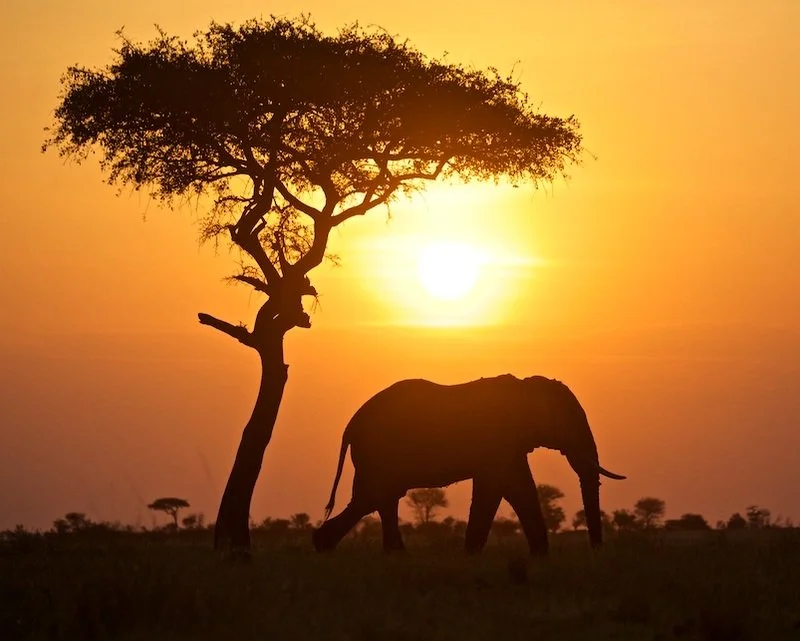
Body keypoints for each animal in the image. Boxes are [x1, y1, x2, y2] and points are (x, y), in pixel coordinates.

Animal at [312, 374, 626, 555]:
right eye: (568, 421)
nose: (596, 550)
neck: (526, 387)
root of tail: (350, 426)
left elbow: (509, 488)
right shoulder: (498, 442)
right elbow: (508, 487)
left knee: (380, 499)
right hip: (377, 453)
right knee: (372, 498)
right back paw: (326, 548)